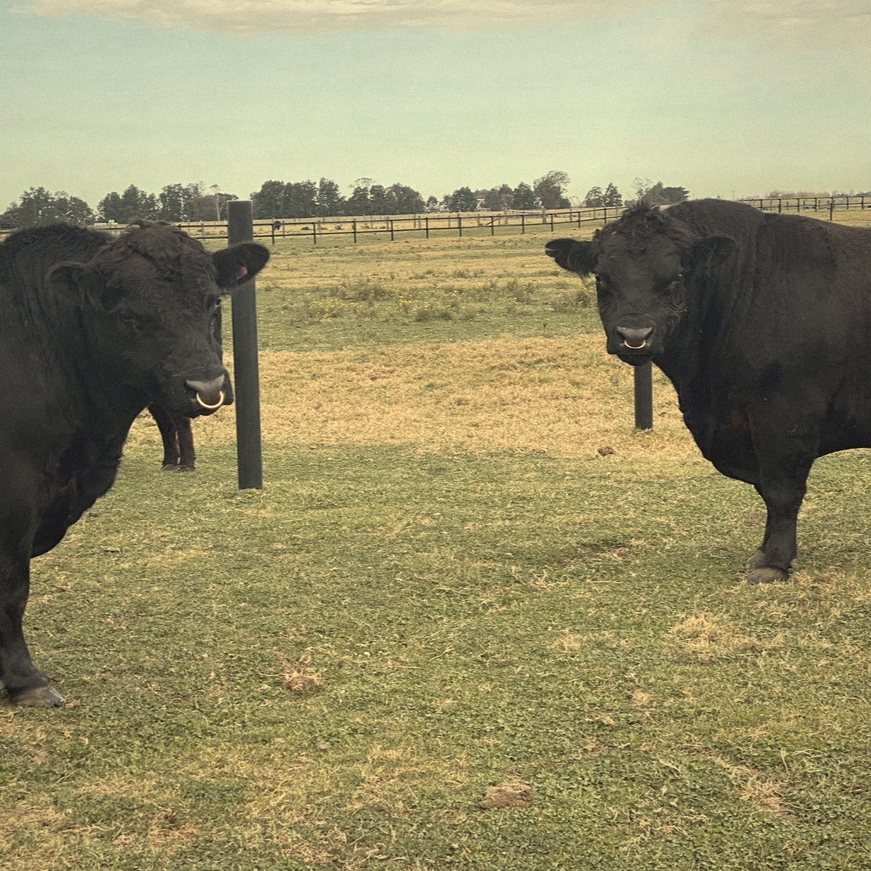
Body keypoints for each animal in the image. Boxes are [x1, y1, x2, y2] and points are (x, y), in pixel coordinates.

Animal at [0, 222, 269, 706]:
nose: (207, 386)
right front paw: (25, 680)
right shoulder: (15, 497)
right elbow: (13, 587)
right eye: (129, 316)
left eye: (212, 302)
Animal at [546, 199, 871, 584]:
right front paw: (762, 551)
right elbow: (766, 489)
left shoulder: (786, 414)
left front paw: (774, 562)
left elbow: (780, 489)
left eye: (676, 278)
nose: (635, 335)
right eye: (601, 278)